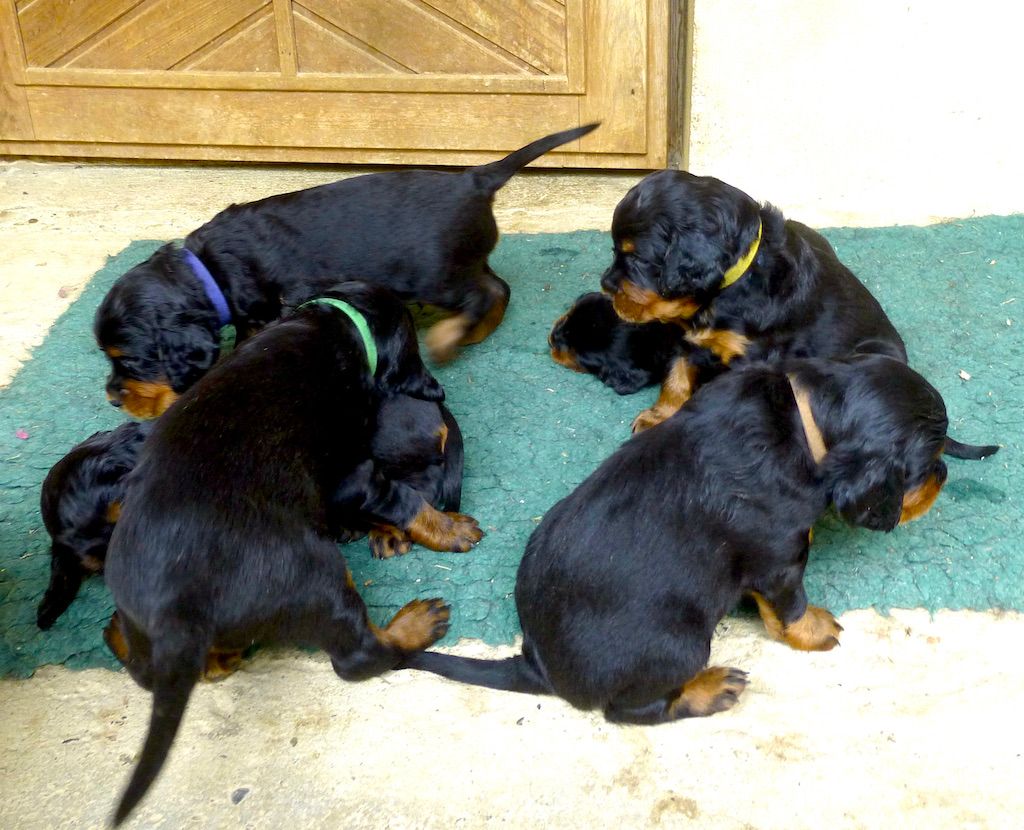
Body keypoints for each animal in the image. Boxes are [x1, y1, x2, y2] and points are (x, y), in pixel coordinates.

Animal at [96, 121, 598, 421]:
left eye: (131, 359)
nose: (112, 396)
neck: (208, 268)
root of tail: (475, 179)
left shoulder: (272, 307)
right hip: (463, 262)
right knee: (497, 287)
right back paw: (472, 332)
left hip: (437, 276)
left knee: (484, 293)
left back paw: (449, 337)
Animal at [105, 280, 481, 822]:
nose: (437, 390)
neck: (334, 323)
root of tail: (178, 611)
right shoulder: (352, 470)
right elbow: (403, 499)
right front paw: (448, 529)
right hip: (319, 578)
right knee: (357, 656)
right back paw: (414, 623)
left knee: (174, 666)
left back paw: (122, 636)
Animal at [403, 356, 995, 728]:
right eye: (927, 462)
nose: (944, 475)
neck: (803, 422)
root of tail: (536, 663)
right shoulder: (781, 556)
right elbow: (790, 606)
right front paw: (814, 629)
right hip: (681, 642)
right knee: (632, 711)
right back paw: (709, 690)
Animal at [598, 172, 913, 438]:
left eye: (638, 259)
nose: (605, 285)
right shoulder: (687, 336)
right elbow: (676, 375)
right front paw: (658, 416)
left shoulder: (751, 356)